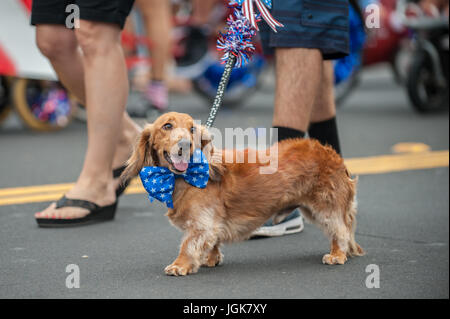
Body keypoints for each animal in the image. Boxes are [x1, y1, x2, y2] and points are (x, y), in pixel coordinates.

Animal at [121, 113, 364, 278]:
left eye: (192, 130)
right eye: (167, 126)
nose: (185, 144)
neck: (186, 176)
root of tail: (332, 154)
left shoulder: (202, 224)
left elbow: (188, 245)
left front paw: (180, 265)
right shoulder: (212, 225)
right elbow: (212, 243)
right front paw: (211, 259)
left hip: (325, 207)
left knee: (340, 232)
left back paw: (337, 255)